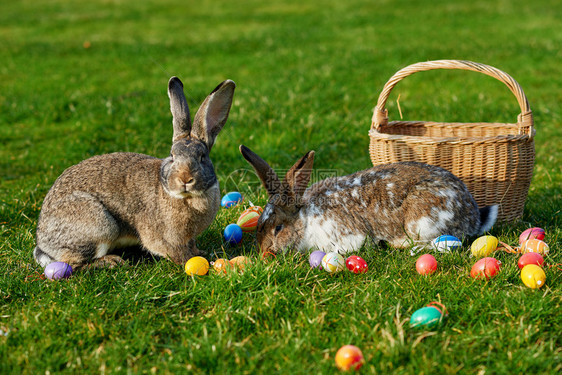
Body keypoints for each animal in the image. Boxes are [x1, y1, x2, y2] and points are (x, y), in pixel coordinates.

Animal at [33, 77, 234, 270]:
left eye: (202, 157)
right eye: (172, 156)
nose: (184, 179)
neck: (187, 197)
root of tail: (43, 242)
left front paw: (201, 252)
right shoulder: (166, 238)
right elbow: (178, 253)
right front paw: (196, 261)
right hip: (100, 225)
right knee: (73, 263)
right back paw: (110, 262)